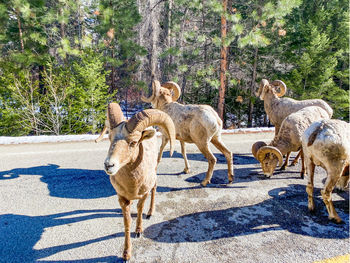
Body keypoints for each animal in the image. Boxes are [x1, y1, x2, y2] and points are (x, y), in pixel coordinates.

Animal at [103, 103, 175, 262]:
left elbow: (140, 210)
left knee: (154, 188)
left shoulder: (143, 194)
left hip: (154, 174)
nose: (109, 165)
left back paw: (150, 213)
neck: (132, 186)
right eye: (110, 138)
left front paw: (139, 231)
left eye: (133, 142)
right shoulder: (122, 199)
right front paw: (126, 254)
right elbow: (127, 222)